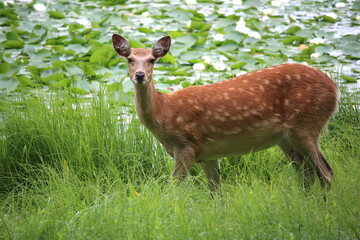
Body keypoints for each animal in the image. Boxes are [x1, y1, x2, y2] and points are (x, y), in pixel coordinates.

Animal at [112, 34, 340, 191]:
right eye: (129, 59)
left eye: (152, 59)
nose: (140, 75)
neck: (164, 112)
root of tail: (335, 90)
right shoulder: (208, 155)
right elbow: (216, 193)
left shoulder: (187, 146)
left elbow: (173, 187)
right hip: (286, 139)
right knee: (307, 175)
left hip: (306, 125)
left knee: (326, 173)